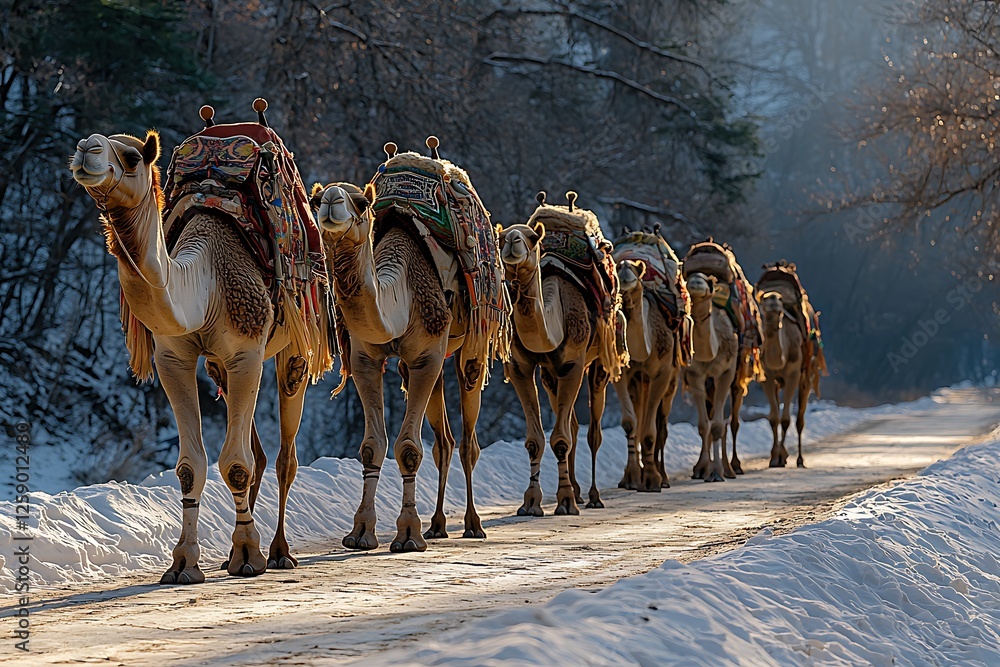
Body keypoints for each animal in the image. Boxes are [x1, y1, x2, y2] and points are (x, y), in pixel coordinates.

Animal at [70, 115, 332, 583]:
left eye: (132, 156)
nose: (86, 148)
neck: (203, 282)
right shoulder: (173, 358)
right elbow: (191, 467)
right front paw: (184, 563)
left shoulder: (246, 352)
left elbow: (236, 464)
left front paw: (249, 556)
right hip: (219, 367)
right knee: (258, 453)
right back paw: (232, 553)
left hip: (297, 340)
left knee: (285, 452)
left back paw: (280, 552)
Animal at [313, 138, 507, 552]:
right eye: (317, 197)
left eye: (361, 202)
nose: (332, 201)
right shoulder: (367, 358)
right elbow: (372, 445)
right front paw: (361, 532)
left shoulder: (427, 354)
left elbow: (408, 448)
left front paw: (407, 534)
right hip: (420, 364)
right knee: (444, 442)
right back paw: (438, 525)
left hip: (469, 346)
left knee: (468, 439)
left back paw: (472, 524)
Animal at [499, 192, 624, 516]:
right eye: (500, 235)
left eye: (532, 238)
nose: (513, 241)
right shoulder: (521, 367)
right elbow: (536, 439)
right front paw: (531, 503)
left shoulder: (573, 364)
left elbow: (560, 438)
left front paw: (566, 501)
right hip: (549, 375)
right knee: (574, 425)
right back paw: (578, 491)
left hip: (598, 363)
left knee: (592, 431)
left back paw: (592, 496)